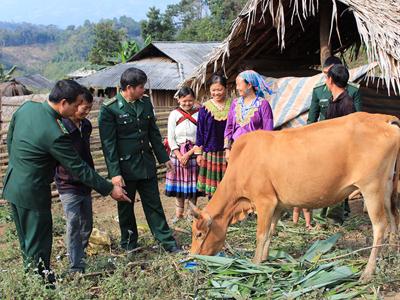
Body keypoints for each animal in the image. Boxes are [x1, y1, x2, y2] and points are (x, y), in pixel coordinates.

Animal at [191, 112, 400, 282]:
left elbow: (261, 235)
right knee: (393, 215)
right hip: (388, 185)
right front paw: (265, 258)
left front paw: (255, 264)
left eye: (199, 234)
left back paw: (367, 272)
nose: (193, 257)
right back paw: (391, 251)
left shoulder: (265, 201)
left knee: (380, 225)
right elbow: (271, 232)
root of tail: (383, 119)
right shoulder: (278, 204)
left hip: (371, 188)